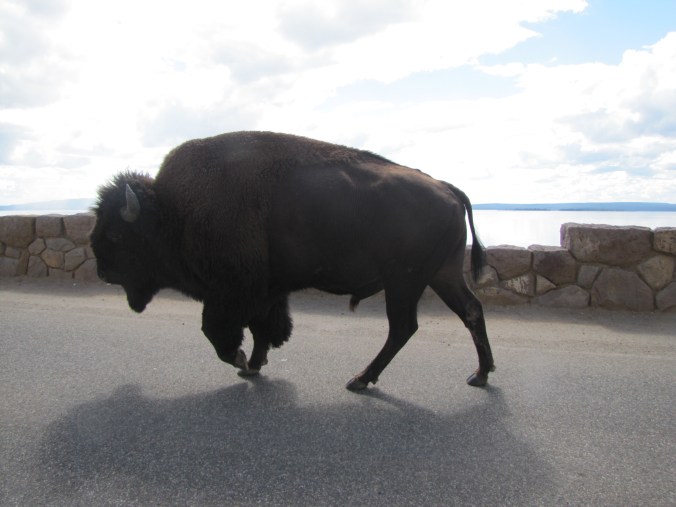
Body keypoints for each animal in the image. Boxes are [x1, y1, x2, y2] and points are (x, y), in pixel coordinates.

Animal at [90, 131, 495, 391]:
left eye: (116, 236)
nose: (102, 270)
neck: (173, 212)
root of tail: (446, 188)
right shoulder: (267, 291)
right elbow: (265, 329)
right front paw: (253, 367)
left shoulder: (232, 293)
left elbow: (220, 332)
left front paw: (241, 361)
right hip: (441, 274)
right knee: (470, 311)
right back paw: (480, 374)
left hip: (404, 281)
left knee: (403, 327)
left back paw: (360, 380)